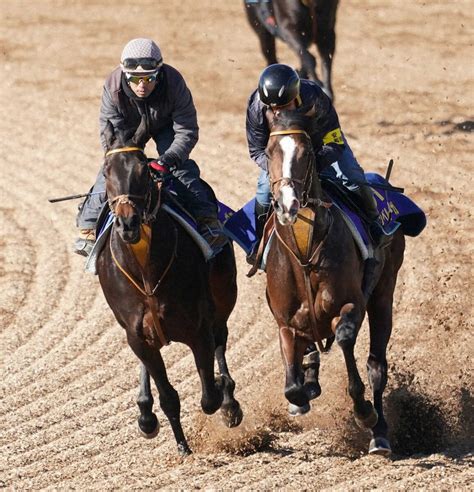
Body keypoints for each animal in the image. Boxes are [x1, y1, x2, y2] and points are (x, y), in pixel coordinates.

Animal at [97, 117, 244, 456]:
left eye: (142, 170)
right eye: (107, 172)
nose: (127, 223)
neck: (146, 272)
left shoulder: (199, 328)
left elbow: (209, 396)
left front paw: (225, 398)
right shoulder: (137, 333)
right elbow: (168, 396)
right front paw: (180, 445)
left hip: (223, 297)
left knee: (221, 338)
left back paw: (230, 401)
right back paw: (145, 412)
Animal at [264, 109, 406, 456]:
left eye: (306, 152)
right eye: (269, 152)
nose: (287, 205)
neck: (304, 253)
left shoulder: (351, 304)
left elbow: (343, 340)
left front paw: (364, 411)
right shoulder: (286, 323)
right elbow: (292, 387)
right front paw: (302, 394)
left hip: (383, 294)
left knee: (376, 365)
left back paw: (379, 434)